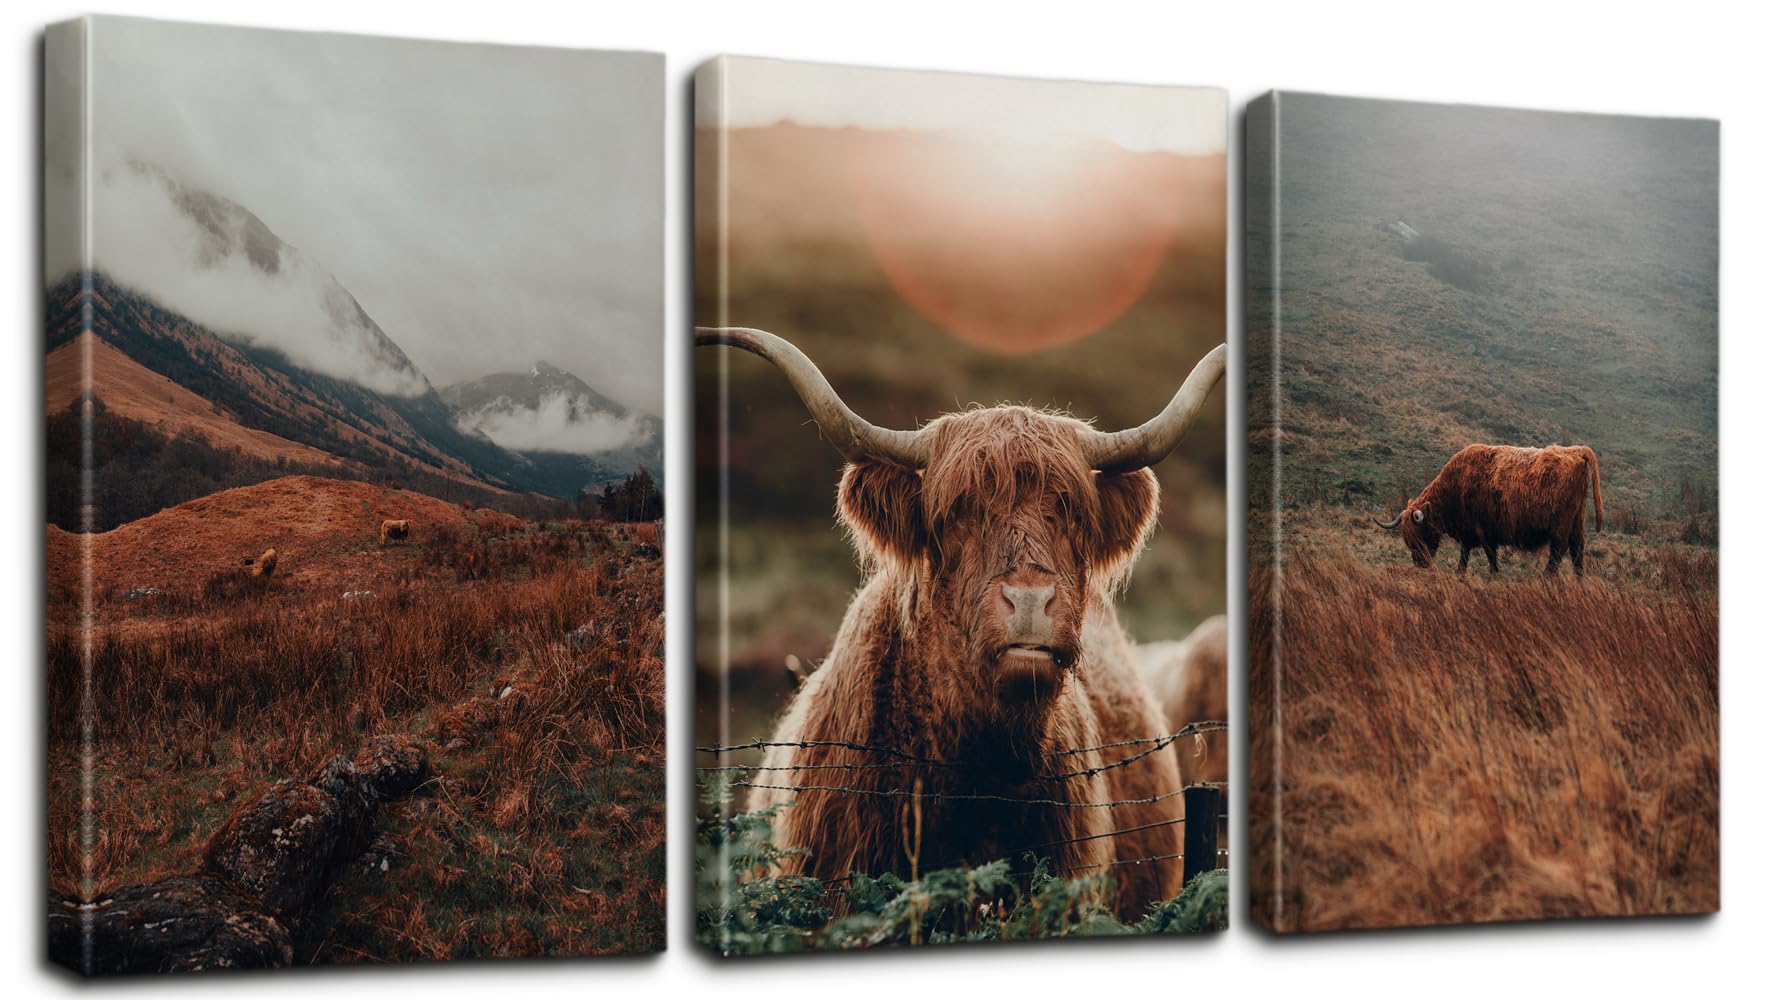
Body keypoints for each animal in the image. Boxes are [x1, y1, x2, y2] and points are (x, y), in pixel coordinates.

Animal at [1375, 444, 1604, 576]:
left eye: (1419, 534)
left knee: (1559, 550)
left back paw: (1547, 577)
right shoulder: (1469, 531)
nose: (1420, 564)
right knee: (1577, 550)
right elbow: (1465, 553)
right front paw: (1460, 572)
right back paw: (1579, 579)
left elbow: (1489, 555)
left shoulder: (1485, 530)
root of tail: (1576, 450)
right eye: (1407, 538)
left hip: (1560, 525)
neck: (1456, 485)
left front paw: (1493, 575)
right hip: (1577, 521)